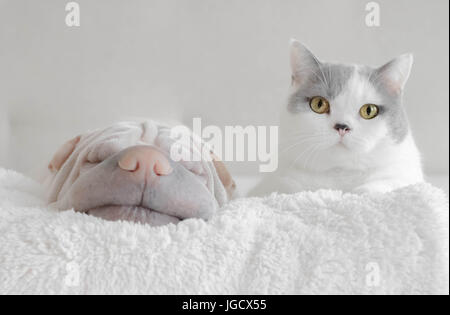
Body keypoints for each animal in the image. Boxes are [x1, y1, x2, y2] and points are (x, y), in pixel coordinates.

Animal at [251, 40, 424, 196]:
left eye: (369, 110)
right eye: (319, 104)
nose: (342, 126)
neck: (339, 176)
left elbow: (387, 184)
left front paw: (364, 191)